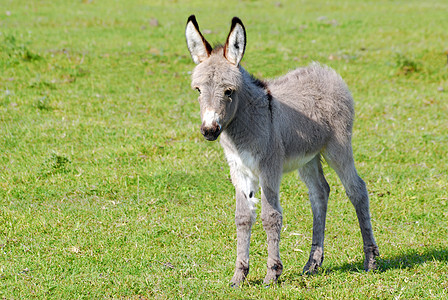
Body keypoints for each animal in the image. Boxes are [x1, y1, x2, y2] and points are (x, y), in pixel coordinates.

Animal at [185, 15, 378, 286]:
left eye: (229, 91)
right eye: (198, 90)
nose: (209, 130)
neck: (246, 123)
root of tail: (326, 71)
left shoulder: (269, 167)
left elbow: (270, 216)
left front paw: (272, 274)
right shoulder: (239, 169)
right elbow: (242, 218)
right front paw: (239, 276)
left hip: (337, 148)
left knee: (356, 190)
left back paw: (370, 260)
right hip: (308, 158)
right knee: (320, 193)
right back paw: (312, 264)